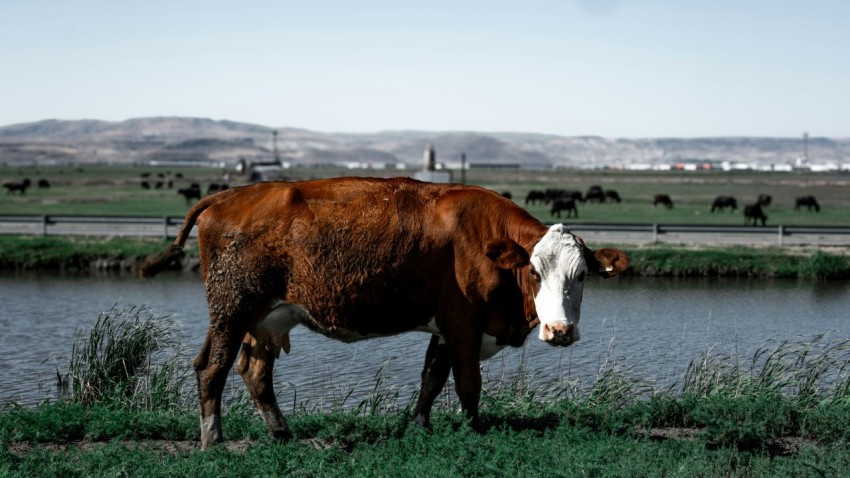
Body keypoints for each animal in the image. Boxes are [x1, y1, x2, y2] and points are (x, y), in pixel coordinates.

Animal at [141, 176, 628, 448]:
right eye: (532, 270)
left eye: (582, 275)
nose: (560, 330)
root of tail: (229, 195)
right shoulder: (464, 324)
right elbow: (468, 385)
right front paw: (473, 431)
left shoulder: (444, 327)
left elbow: (432, 378)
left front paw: (420, 426)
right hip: (232, 311)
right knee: (213, 369)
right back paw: (213, 438)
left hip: (265, 319)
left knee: (254, 372)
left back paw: (280, 433)